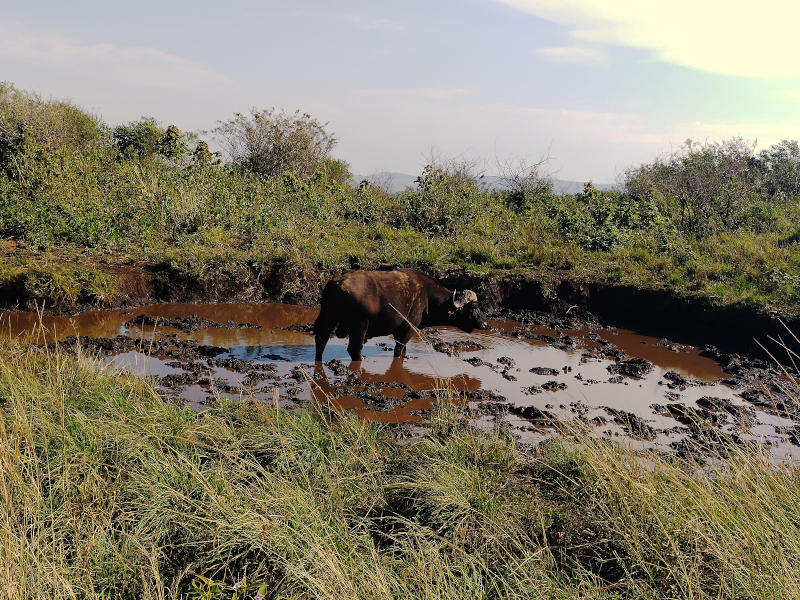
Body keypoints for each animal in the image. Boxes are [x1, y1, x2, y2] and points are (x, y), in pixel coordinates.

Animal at [314, 268, 487, 361]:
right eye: (473, 307)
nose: (485, 324)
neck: (426, 295)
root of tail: (339, 283)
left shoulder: (400, 331)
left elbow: (402, 350)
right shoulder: (408, 328)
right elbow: (399, 350)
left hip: (328, 318)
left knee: (321, 340)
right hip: (360, 326)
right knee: (354, 349)